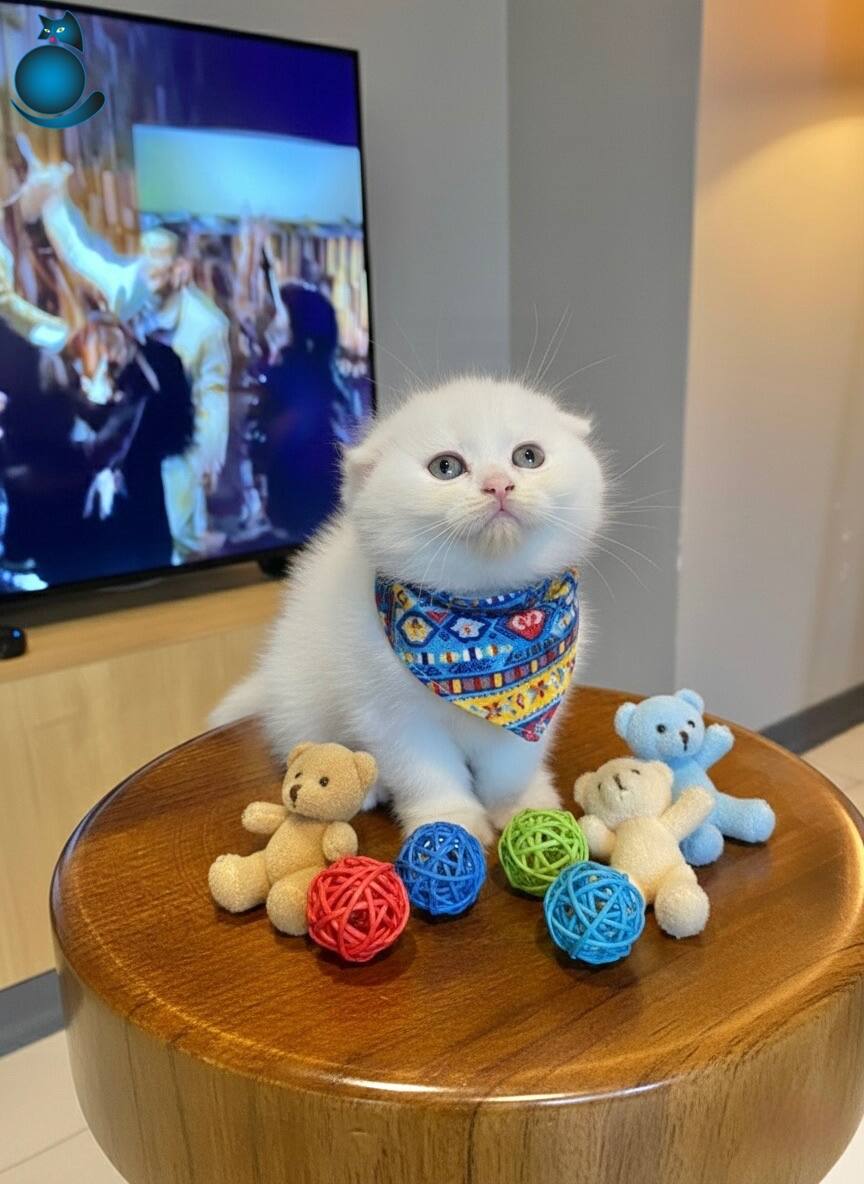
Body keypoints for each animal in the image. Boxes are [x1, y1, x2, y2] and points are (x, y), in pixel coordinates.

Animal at [211, 377, 606, 844]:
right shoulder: (390, 715)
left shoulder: (534, 706)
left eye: (528, 456)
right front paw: (450, 821)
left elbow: (510, 764)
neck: (485, 614)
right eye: (446, 467)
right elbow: (424, 772)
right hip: (300, 703)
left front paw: (522, 807)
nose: (499, 485)